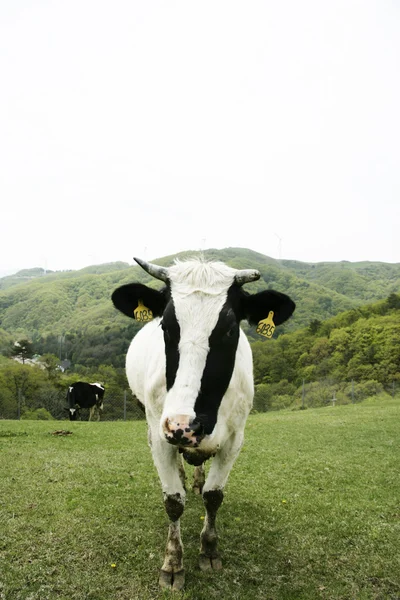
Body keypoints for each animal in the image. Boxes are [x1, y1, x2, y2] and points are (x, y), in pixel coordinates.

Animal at [111, 255, 296, 588]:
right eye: (166, 326)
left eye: (229, 329)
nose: (184, 425)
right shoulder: (160, 433)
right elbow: (173, 501)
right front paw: (173, 563)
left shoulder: (235, 437)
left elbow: (213, 495)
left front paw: (209, 550)